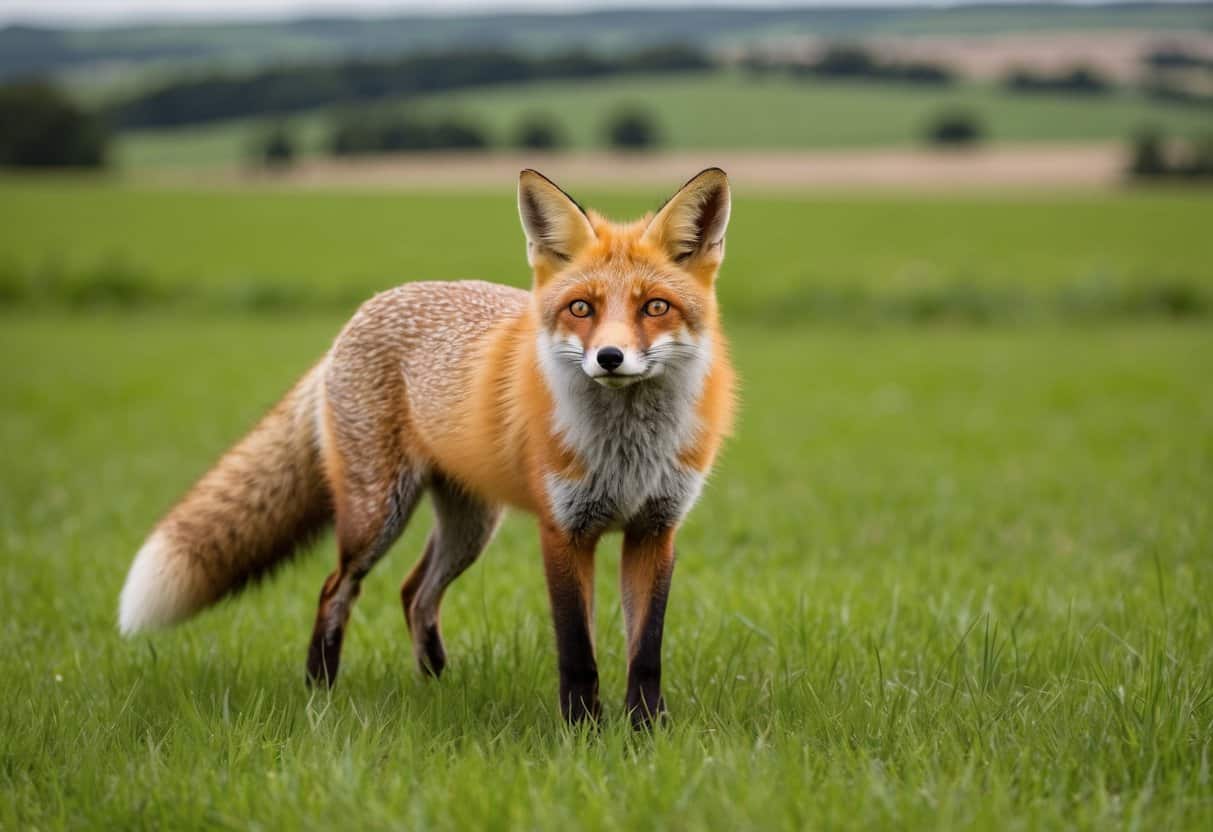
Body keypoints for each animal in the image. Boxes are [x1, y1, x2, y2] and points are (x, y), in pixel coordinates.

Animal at [118, 168, 736, 726]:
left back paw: (437, 686)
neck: (628, 451)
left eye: (655, 307)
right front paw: (582, 733)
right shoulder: (563, 530)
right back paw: (320, 693)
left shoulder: (654, 530)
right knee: (336, 589)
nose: (609, 358)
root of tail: (360, 314)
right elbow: (577, 653)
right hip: (376, 515)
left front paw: (645, 733)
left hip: (470, 526)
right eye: (581, 308)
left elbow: (645, 653)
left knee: (415, 593)